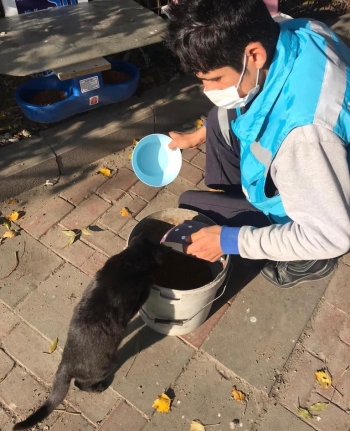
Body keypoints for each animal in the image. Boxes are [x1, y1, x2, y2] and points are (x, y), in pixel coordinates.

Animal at [13, 238, 167, 430]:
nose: (167, 248)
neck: (128, 261)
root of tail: (66, 363)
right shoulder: (136, 300)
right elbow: (146, 289)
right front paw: (151, 279)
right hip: (106, 365)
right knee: (80, 384)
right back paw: (99, 387)